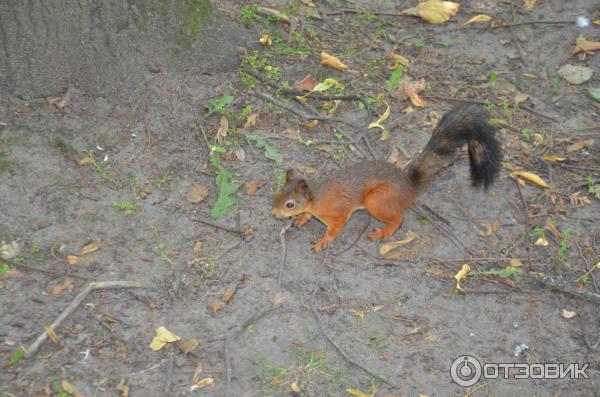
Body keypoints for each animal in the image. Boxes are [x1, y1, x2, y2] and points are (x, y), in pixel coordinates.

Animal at [272, 103, 502, 251]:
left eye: (290, 204)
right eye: (277, 195)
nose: (274, 213)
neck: (316, 196)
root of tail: (409, 188)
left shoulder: (337, 214)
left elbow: (335, 228)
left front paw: (323, 240)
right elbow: (308, 215)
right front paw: (302, 218)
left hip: (377, 200)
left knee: (399, 219)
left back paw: (383, 232)